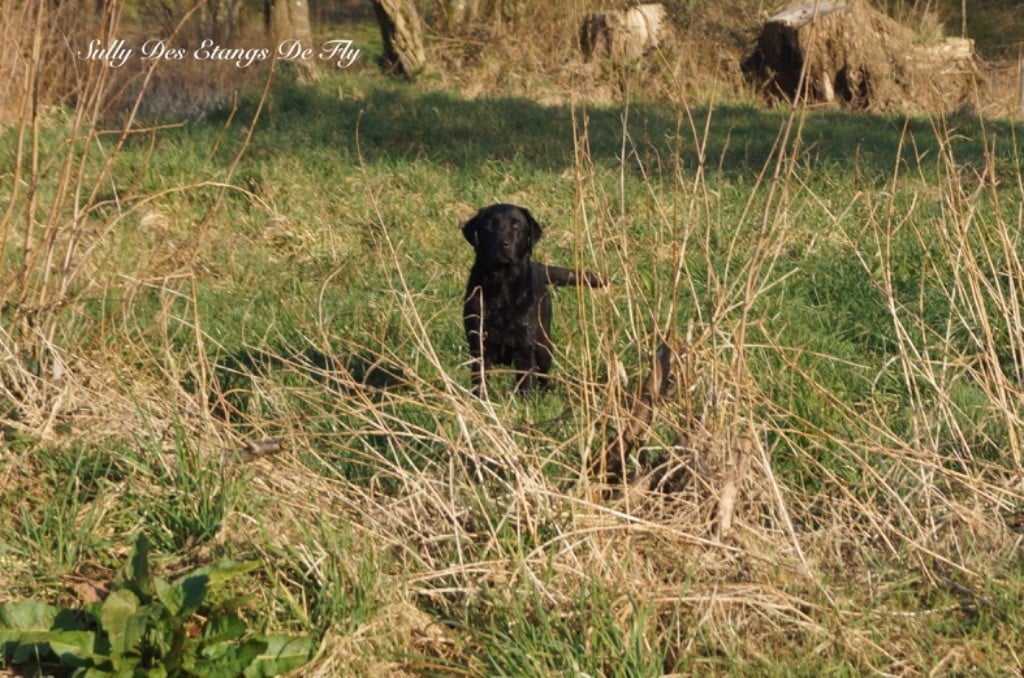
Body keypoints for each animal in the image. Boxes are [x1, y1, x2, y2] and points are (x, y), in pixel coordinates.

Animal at [462, 201, 602, 395]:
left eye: (516, 225)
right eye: (489, 224)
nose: (502, 244)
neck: (502, 289)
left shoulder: (525, 345)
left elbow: (526, 380)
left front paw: (526, 399)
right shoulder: (479, 344)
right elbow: (479, 380)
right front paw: (478, 399)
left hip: (544, 344)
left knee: (543, 372)